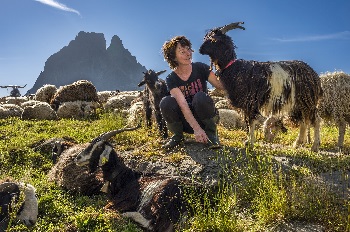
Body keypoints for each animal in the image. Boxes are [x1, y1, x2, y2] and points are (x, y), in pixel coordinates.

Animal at [200, 21, 322, 152]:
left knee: (315, 120)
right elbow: (249, 122)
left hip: (307, 101)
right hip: (298, 104)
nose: (200, 49)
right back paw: (297, 143)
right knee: (304, 122)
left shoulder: (250, 102)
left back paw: (314, 146)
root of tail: (314, 75)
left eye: (214, 40)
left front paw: (250, 142)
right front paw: (249, 141)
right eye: (206, 38)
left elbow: (250, 122)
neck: (234, 68)